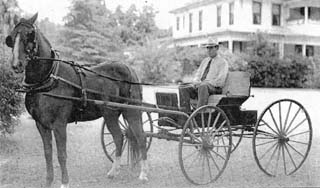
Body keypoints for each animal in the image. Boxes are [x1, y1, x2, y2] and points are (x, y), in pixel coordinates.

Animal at [5, 12, 149, 187]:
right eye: (12, 37)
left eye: (30, 35)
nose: (16, 64)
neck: (48, 78)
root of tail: (129, 68)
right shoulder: (41, 125)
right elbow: (47, 154)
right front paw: (48, 181)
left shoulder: (59, 124)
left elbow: (61, 154)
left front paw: (64, 182)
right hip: (111, 114)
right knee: (119, 137)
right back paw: (113, 172)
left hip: (131, 112)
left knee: (141, 137)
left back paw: (143, 174)